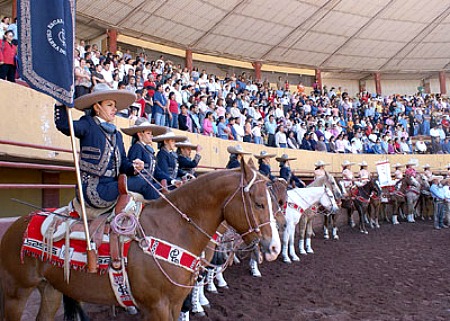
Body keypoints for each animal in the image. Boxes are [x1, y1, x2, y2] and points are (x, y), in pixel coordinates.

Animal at [0, 160, 282, 320]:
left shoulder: (173, 303)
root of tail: (15, 226)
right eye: (259, 203)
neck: (174, 228)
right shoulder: (158, 306)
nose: (274, 247)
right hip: (16, 294)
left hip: (50, 290)